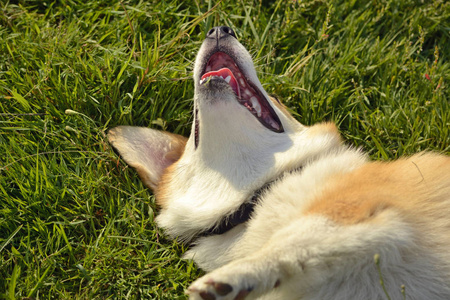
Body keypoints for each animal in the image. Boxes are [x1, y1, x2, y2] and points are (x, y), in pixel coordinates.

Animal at [109, 27, 450, 298]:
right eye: (195, 127)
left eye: (274, 99)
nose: (219, 29)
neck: (254, 198)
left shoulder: (376, 214)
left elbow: (293, 241)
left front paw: (234, 277)